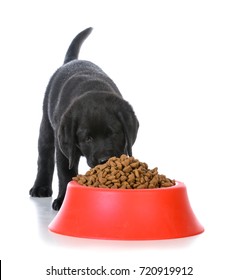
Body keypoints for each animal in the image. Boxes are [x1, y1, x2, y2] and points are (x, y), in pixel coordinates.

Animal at [29, 27, 139, 210]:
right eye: (88, 138)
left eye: (112, 134)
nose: (103, 160)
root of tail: (71, 61)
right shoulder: (64, 149)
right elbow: (65, 173)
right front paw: (63, 200)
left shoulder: (123, 145)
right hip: (46, 126)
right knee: (44, 156)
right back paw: (40, 187)